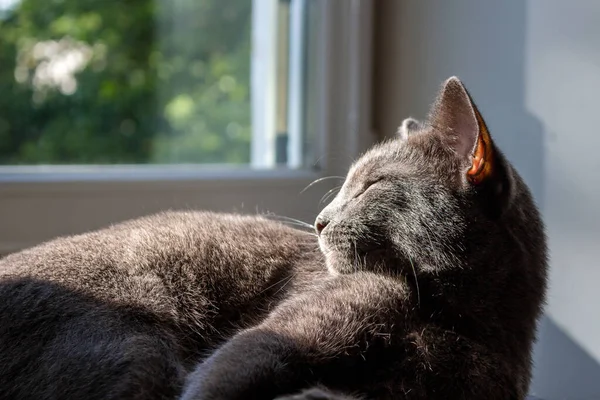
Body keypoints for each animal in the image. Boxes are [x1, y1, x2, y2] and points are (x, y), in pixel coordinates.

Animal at [0, 76, 548, 398]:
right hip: (134, 347)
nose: (321, 220)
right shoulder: (286, 332)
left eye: (371, 185)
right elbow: (222, 377)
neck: (457, 320)